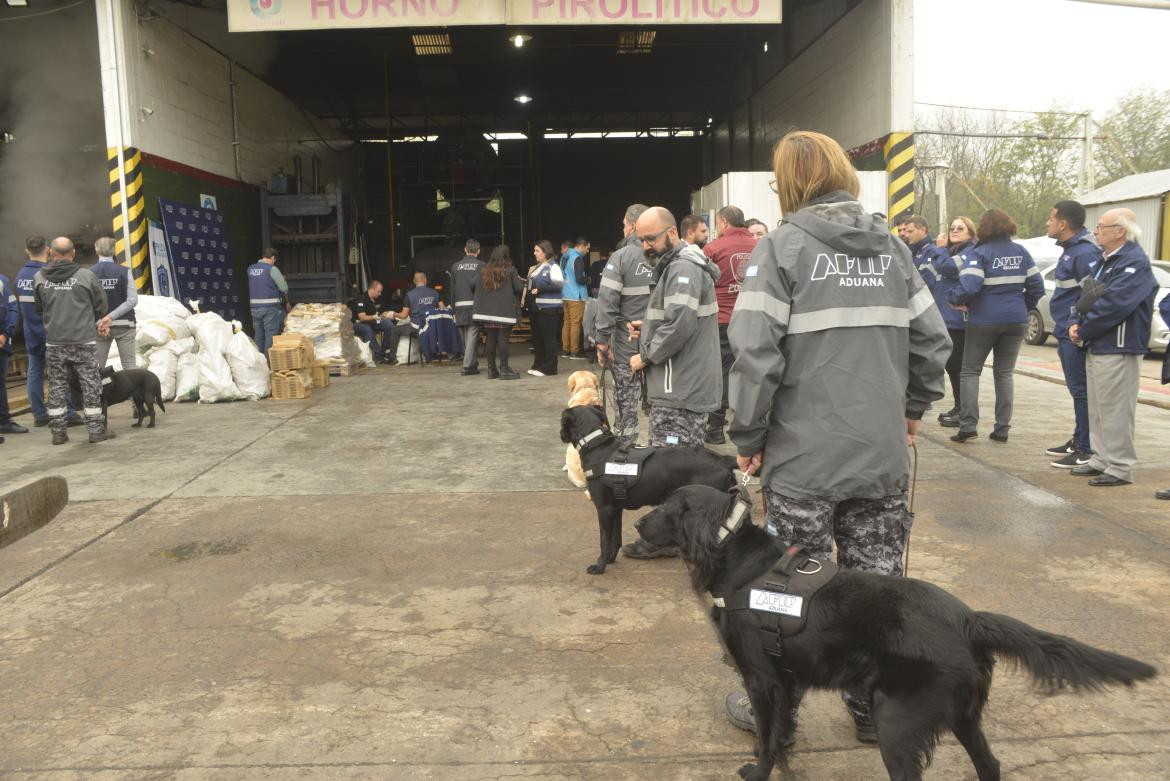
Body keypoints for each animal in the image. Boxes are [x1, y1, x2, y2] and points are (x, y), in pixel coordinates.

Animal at [561, 406, 734, 577]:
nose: (561, 435)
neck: (595, 444)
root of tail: (723, 460)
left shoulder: (604, 509)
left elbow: (604, 541)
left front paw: (599, 566)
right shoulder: (616, 509)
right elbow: (615, 539)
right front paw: (610, 559)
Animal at [636, 484, 1155, 776]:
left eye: (665, 507)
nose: (639, 524)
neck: (739, 559)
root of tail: (968, 618)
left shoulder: (763, 679)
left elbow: (767, 738)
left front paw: (757, 769)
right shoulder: (785, 678)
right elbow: (781, 732)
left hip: (898, 720)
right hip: (963, 716)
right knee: (990, 764)